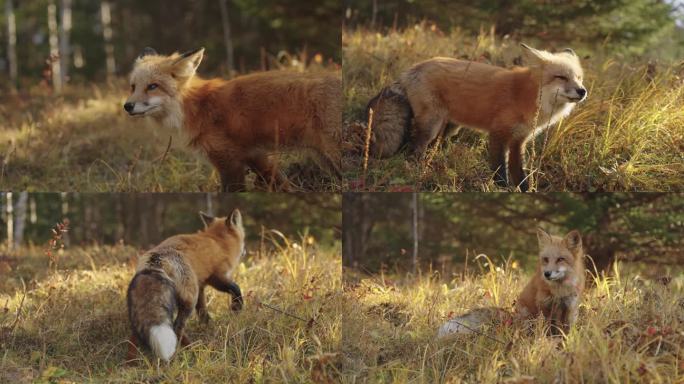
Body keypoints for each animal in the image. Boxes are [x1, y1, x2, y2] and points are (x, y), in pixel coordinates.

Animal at [123, 47, 342, 191]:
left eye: (152, 86)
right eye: (133, 87)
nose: (127, 106)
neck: (197, 108)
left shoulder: (229, 161)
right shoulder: (255, 155)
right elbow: (282, 184)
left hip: (334, 152)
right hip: (325, 158)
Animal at [125, 208, 246, 362]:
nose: (245, 252)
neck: (218, 241)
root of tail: (155, 261)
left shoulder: (201, 285)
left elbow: (202, 310)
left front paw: (207, 325)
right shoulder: (216, 277)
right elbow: (235, 287)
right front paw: (237, 306)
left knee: (134, 332)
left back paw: (131, 362)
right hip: (189, 300)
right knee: (177, 327)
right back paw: (192, 350)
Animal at [368, 44, 588, 191]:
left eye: (578, 78)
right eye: (561, 77)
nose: (582, 91)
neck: (527, 95)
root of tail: (410, 70)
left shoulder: (519, 140)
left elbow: (520, 173)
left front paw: (525, 192)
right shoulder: (498, 133)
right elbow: (499, 169)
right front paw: (502, 189)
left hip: (448, 128)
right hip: (431, 125)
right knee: (413, 149)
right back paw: (417, 172)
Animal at [440, 230, 584, 338]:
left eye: (560, 259)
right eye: (546, 259)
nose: (547, 274)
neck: (560, 291)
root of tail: (513, 317)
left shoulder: (569, 307)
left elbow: (566, 331)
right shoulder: (544, 306)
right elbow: (548, 329)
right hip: (527, 316)